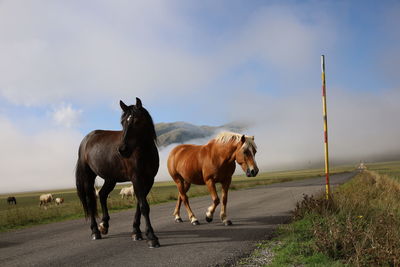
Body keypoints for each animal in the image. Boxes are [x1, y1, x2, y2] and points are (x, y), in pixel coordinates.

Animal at [76, 98, 160, 249]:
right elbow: (144, 206)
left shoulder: (149, 180)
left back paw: (104, 225)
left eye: (136, 121)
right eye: (123, 123)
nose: (122, 150)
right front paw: (151, 237)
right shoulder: (136, 178)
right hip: (88, 176)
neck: (143, 152)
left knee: (102, 195)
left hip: (111, 179)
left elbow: (140, 204)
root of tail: (86, 139)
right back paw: (95, 231)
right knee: (90, 201)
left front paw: (136, 232)